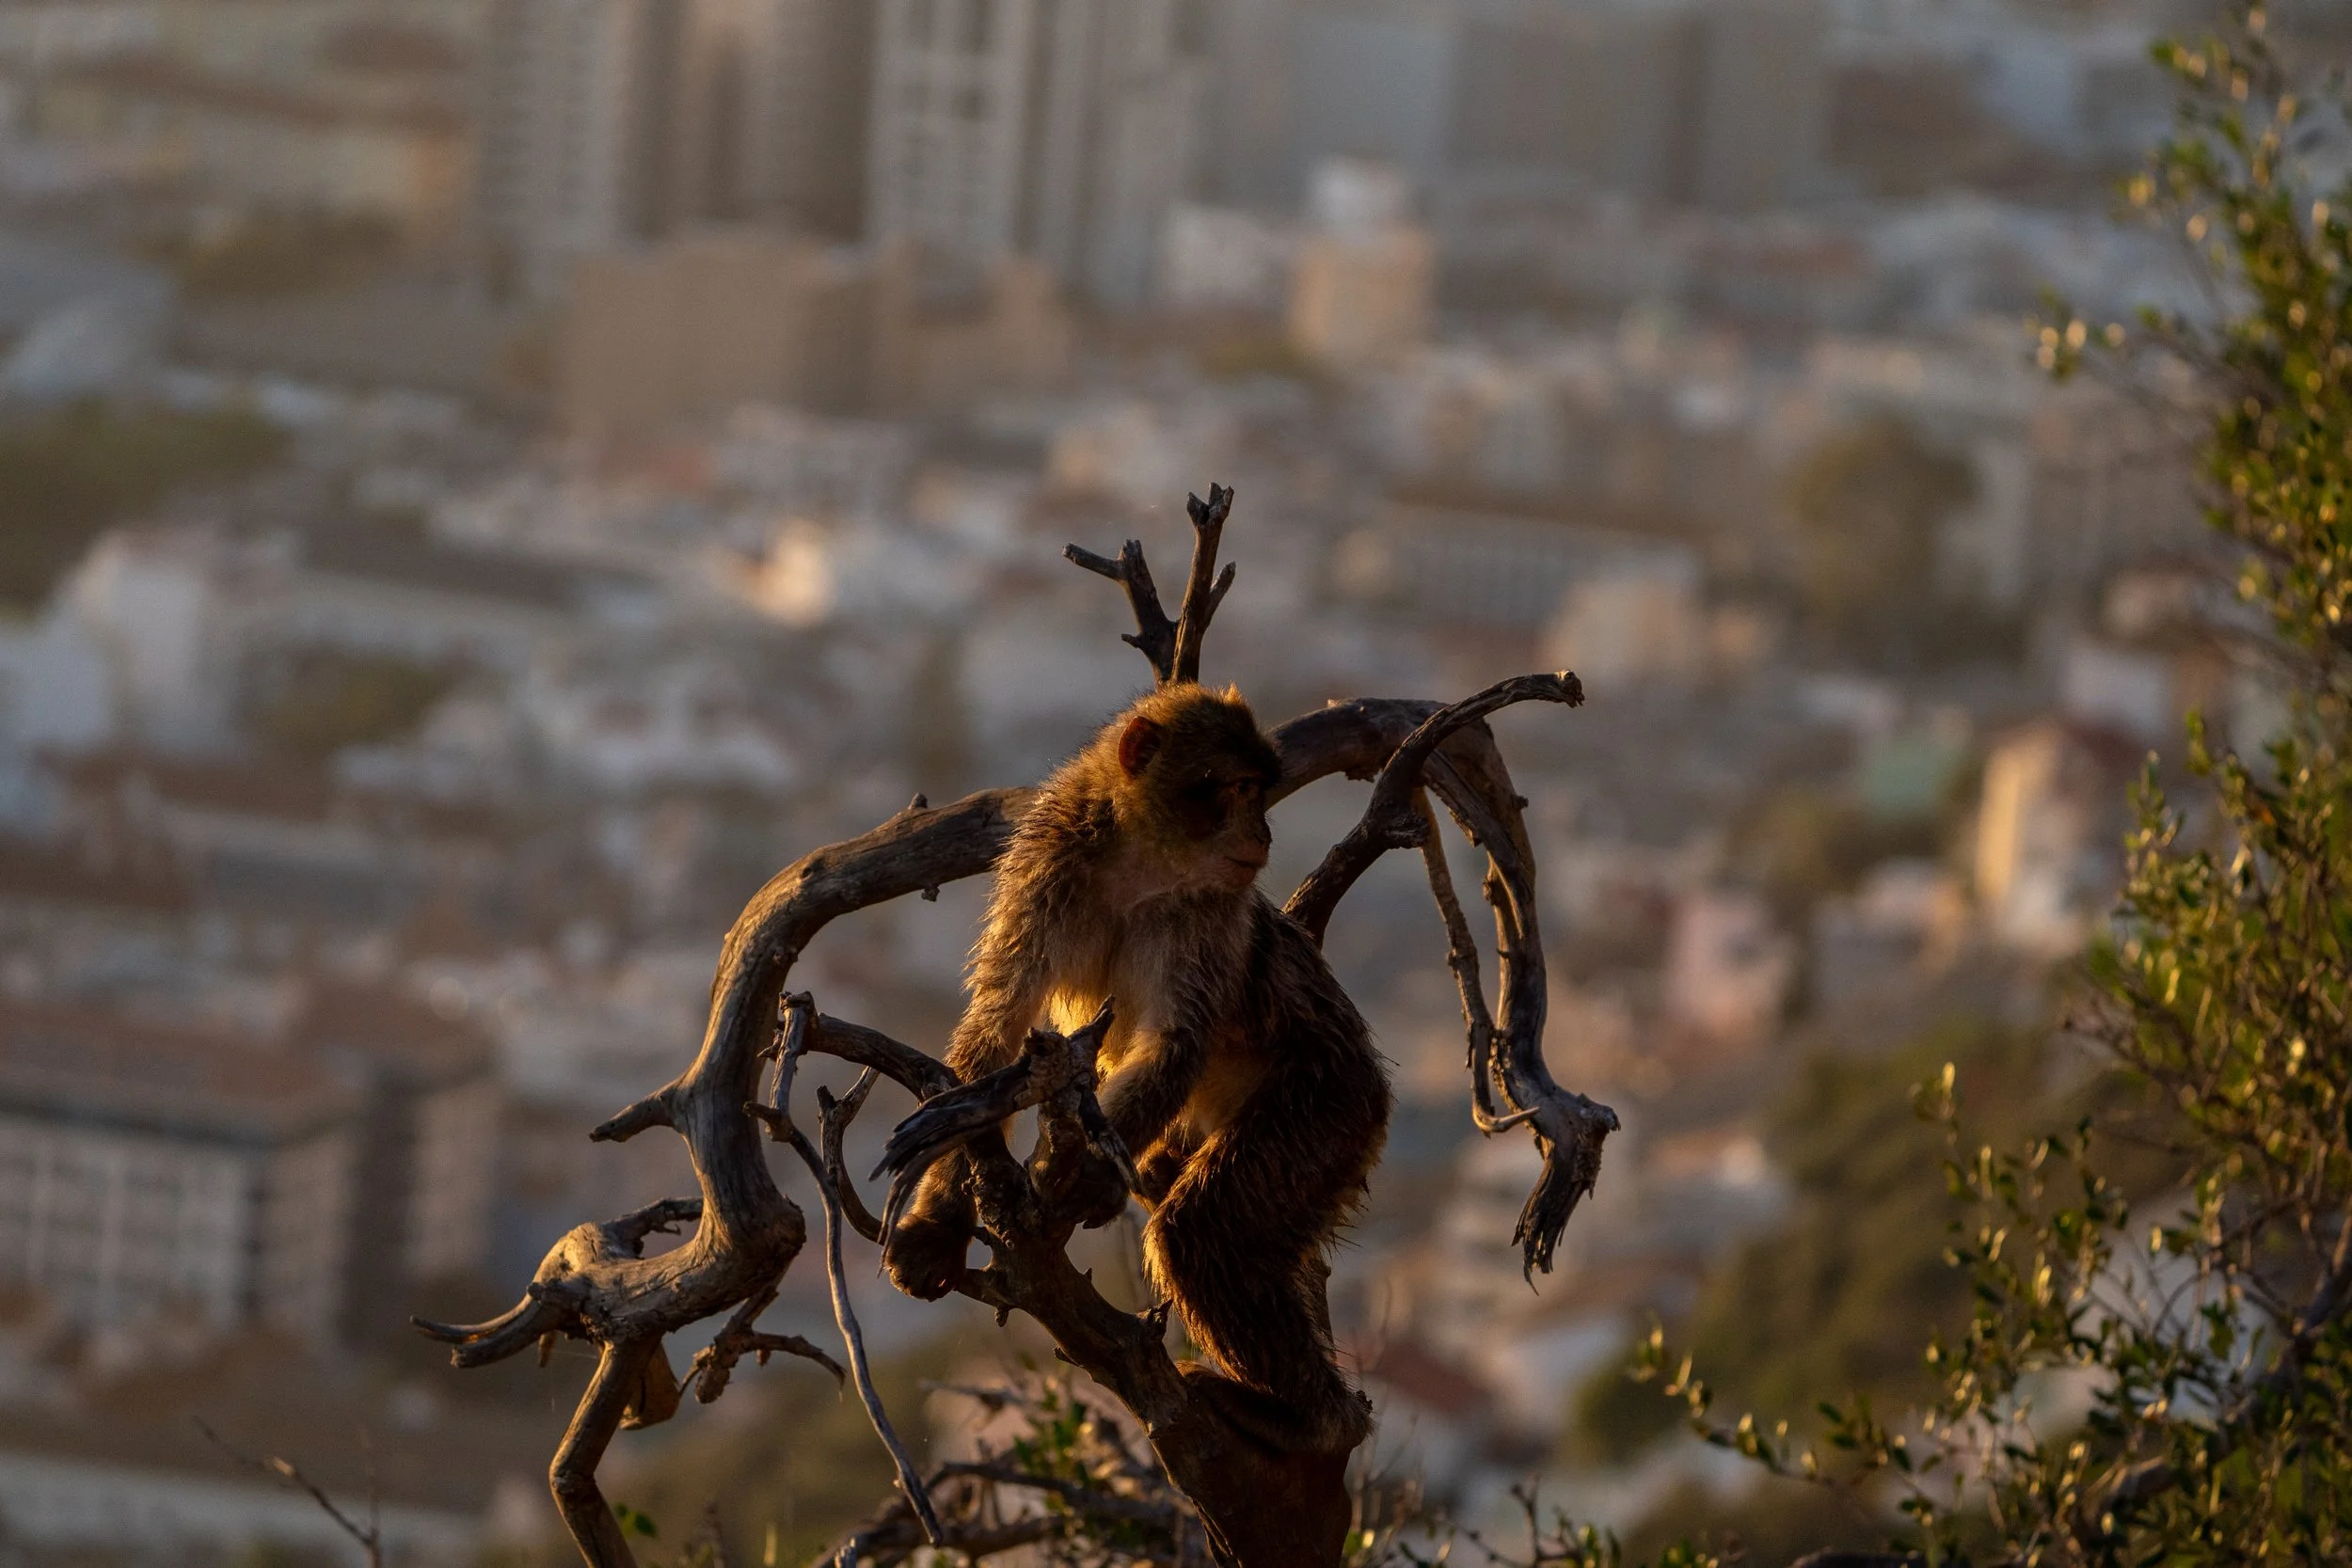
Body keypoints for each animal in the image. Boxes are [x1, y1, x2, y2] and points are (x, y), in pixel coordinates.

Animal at [883, 682, 1393, 1449]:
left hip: (1330, 1102)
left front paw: (1089, 1177)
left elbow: (1176, 1041)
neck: (1140, 861)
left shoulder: (1202, 916)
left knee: (1203, 1232)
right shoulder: (1045, 872)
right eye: (1235, 789)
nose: (1263, 836)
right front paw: (938, 1220)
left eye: (1259, 791)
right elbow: (998, 1024)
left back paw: (1311, 1421)